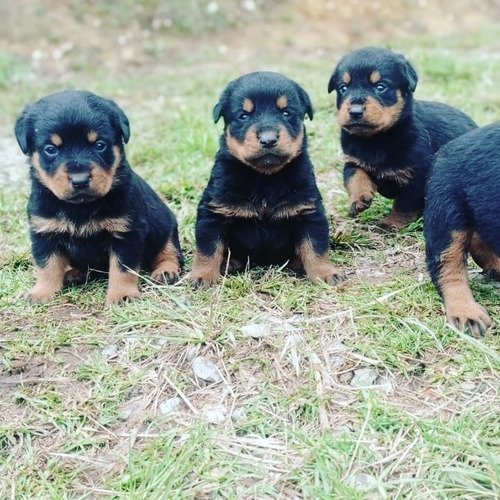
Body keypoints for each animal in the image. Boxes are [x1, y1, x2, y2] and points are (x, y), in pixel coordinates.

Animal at [15, 92, 184, 306]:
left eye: (99, 145)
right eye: (51, 149)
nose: (80, 180)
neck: (80, 207)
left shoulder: (127, 232)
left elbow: (122, 268)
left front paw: (122, 295)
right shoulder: (44, 232)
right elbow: (46, 266)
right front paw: (42, 292)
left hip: (166, 224)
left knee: (169, 250)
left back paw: (166, 271)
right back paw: (74, 274)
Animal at [189, 72, 346, 288]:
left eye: (287, 113)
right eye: (243, 116)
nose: (268, 139)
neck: (264, 179)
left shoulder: (309, 211)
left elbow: (316, 246)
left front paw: (325, 273)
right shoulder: (214, 211)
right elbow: (208, 248)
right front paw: (203, 276)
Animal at [328, 46, 476, 229]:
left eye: (381, 87)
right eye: (343, 88)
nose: (355, 111)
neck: (376, 139)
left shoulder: (417, 175)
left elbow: (404, 204)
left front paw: (390, 224)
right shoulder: (353, 160)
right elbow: (355, 177)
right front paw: (359, 200)